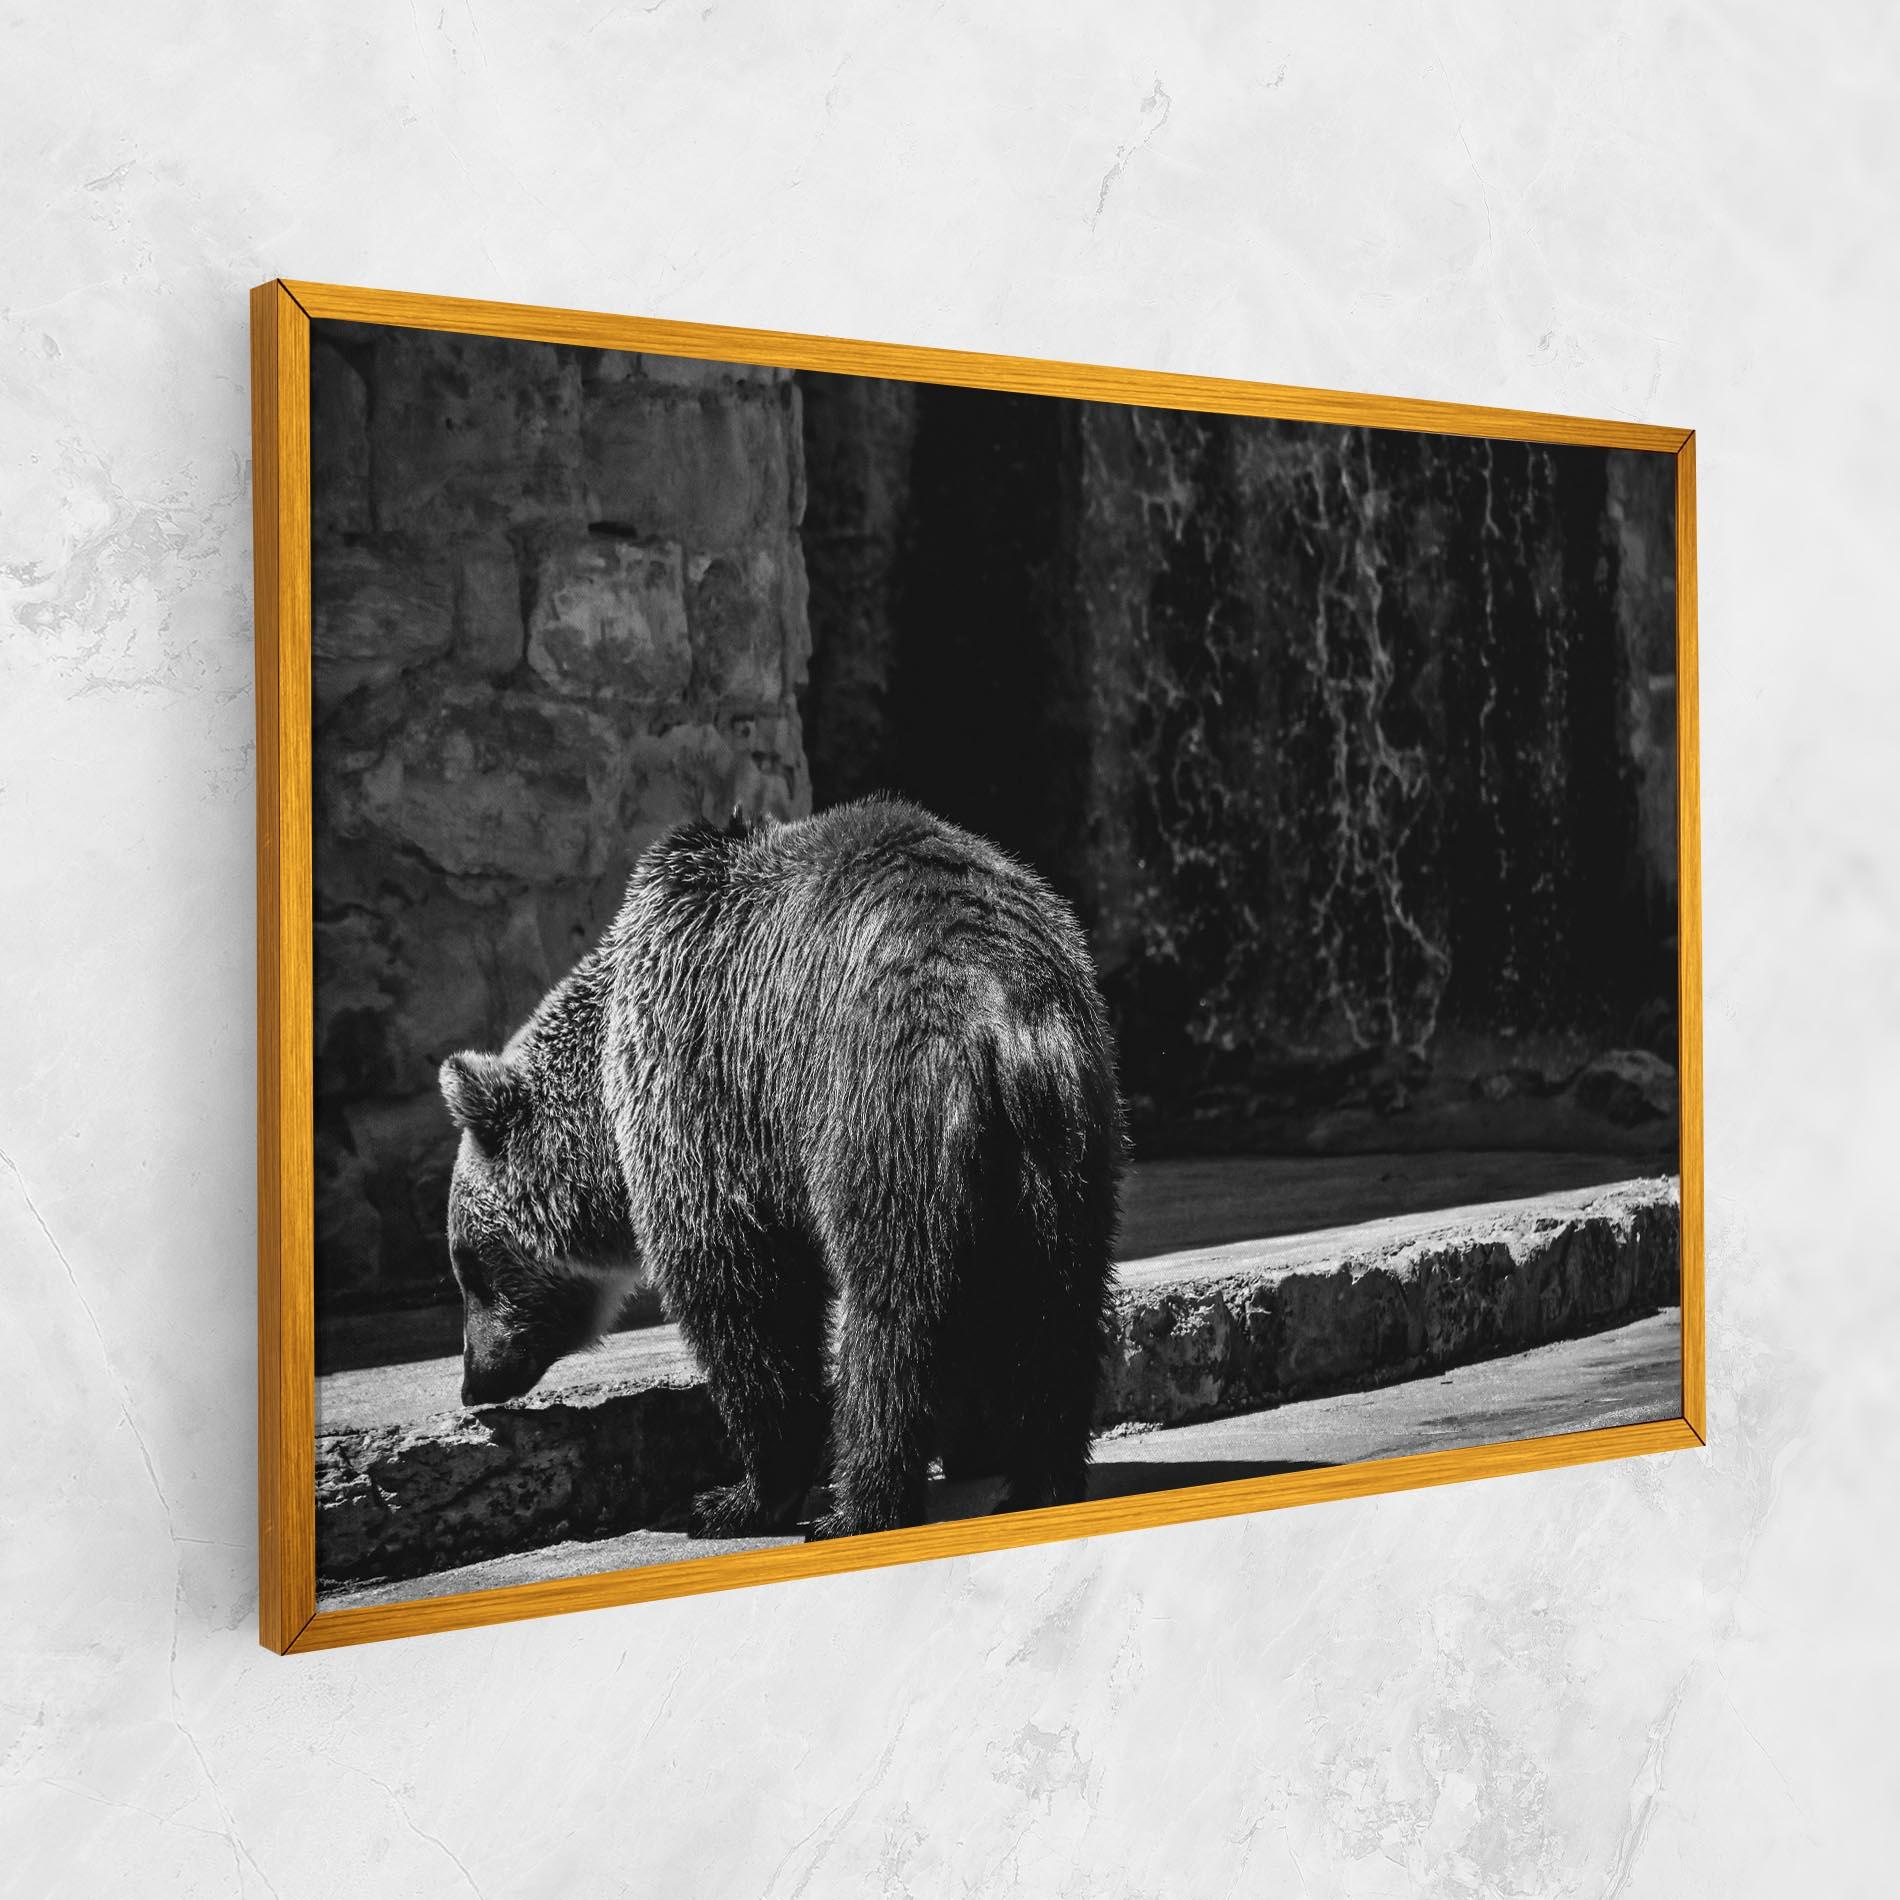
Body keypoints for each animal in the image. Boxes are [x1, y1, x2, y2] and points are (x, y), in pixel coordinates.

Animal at [437, 796, 1124, 1540]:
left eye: (470, 1266)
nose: (474, 1380)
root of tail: (1002, 1008)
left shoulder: (708, 1081)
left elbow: (744, 1293)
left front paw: (732, 1497)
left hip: (882, 1104)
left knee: (894, 1311)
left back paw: (860, 1507)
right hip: (1068, 1137)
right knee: (1057, 1300)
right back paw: (1040, 1483)